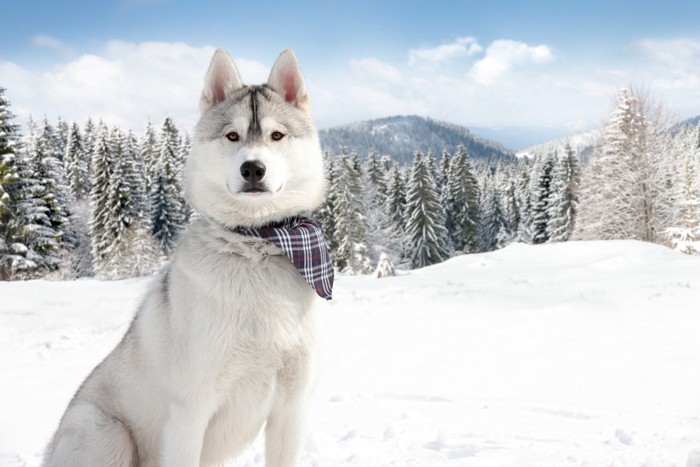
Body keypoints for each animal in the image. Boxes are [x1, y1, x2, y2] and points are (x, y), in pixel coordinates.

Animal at [42, 48, 330, 467]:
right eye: (232, 135)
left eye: (277, 135)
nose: (252, 168)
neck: (256, 246)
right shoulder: (190, 412)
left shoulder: (291, 409)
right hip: (105, 431)